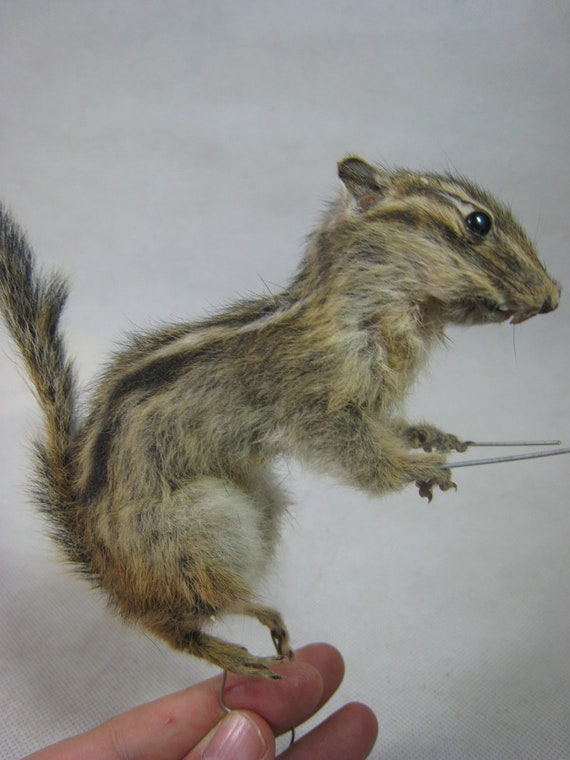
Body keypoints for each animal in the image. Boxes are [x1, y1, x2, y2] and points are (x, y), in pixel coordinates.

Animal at [0, 156, 561, 678]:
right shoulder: (319, 409)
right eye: (478, 222)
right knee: (175, 623)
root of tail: (93, 548)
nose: (554, 297)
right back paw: (245, 639)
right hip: (197, 527)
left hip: (256, 508)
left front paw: (430, 436)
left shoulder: (369, 401)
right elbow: (360, 456)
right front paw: (417, 466)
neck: (383, 309)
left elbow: (390, 427)